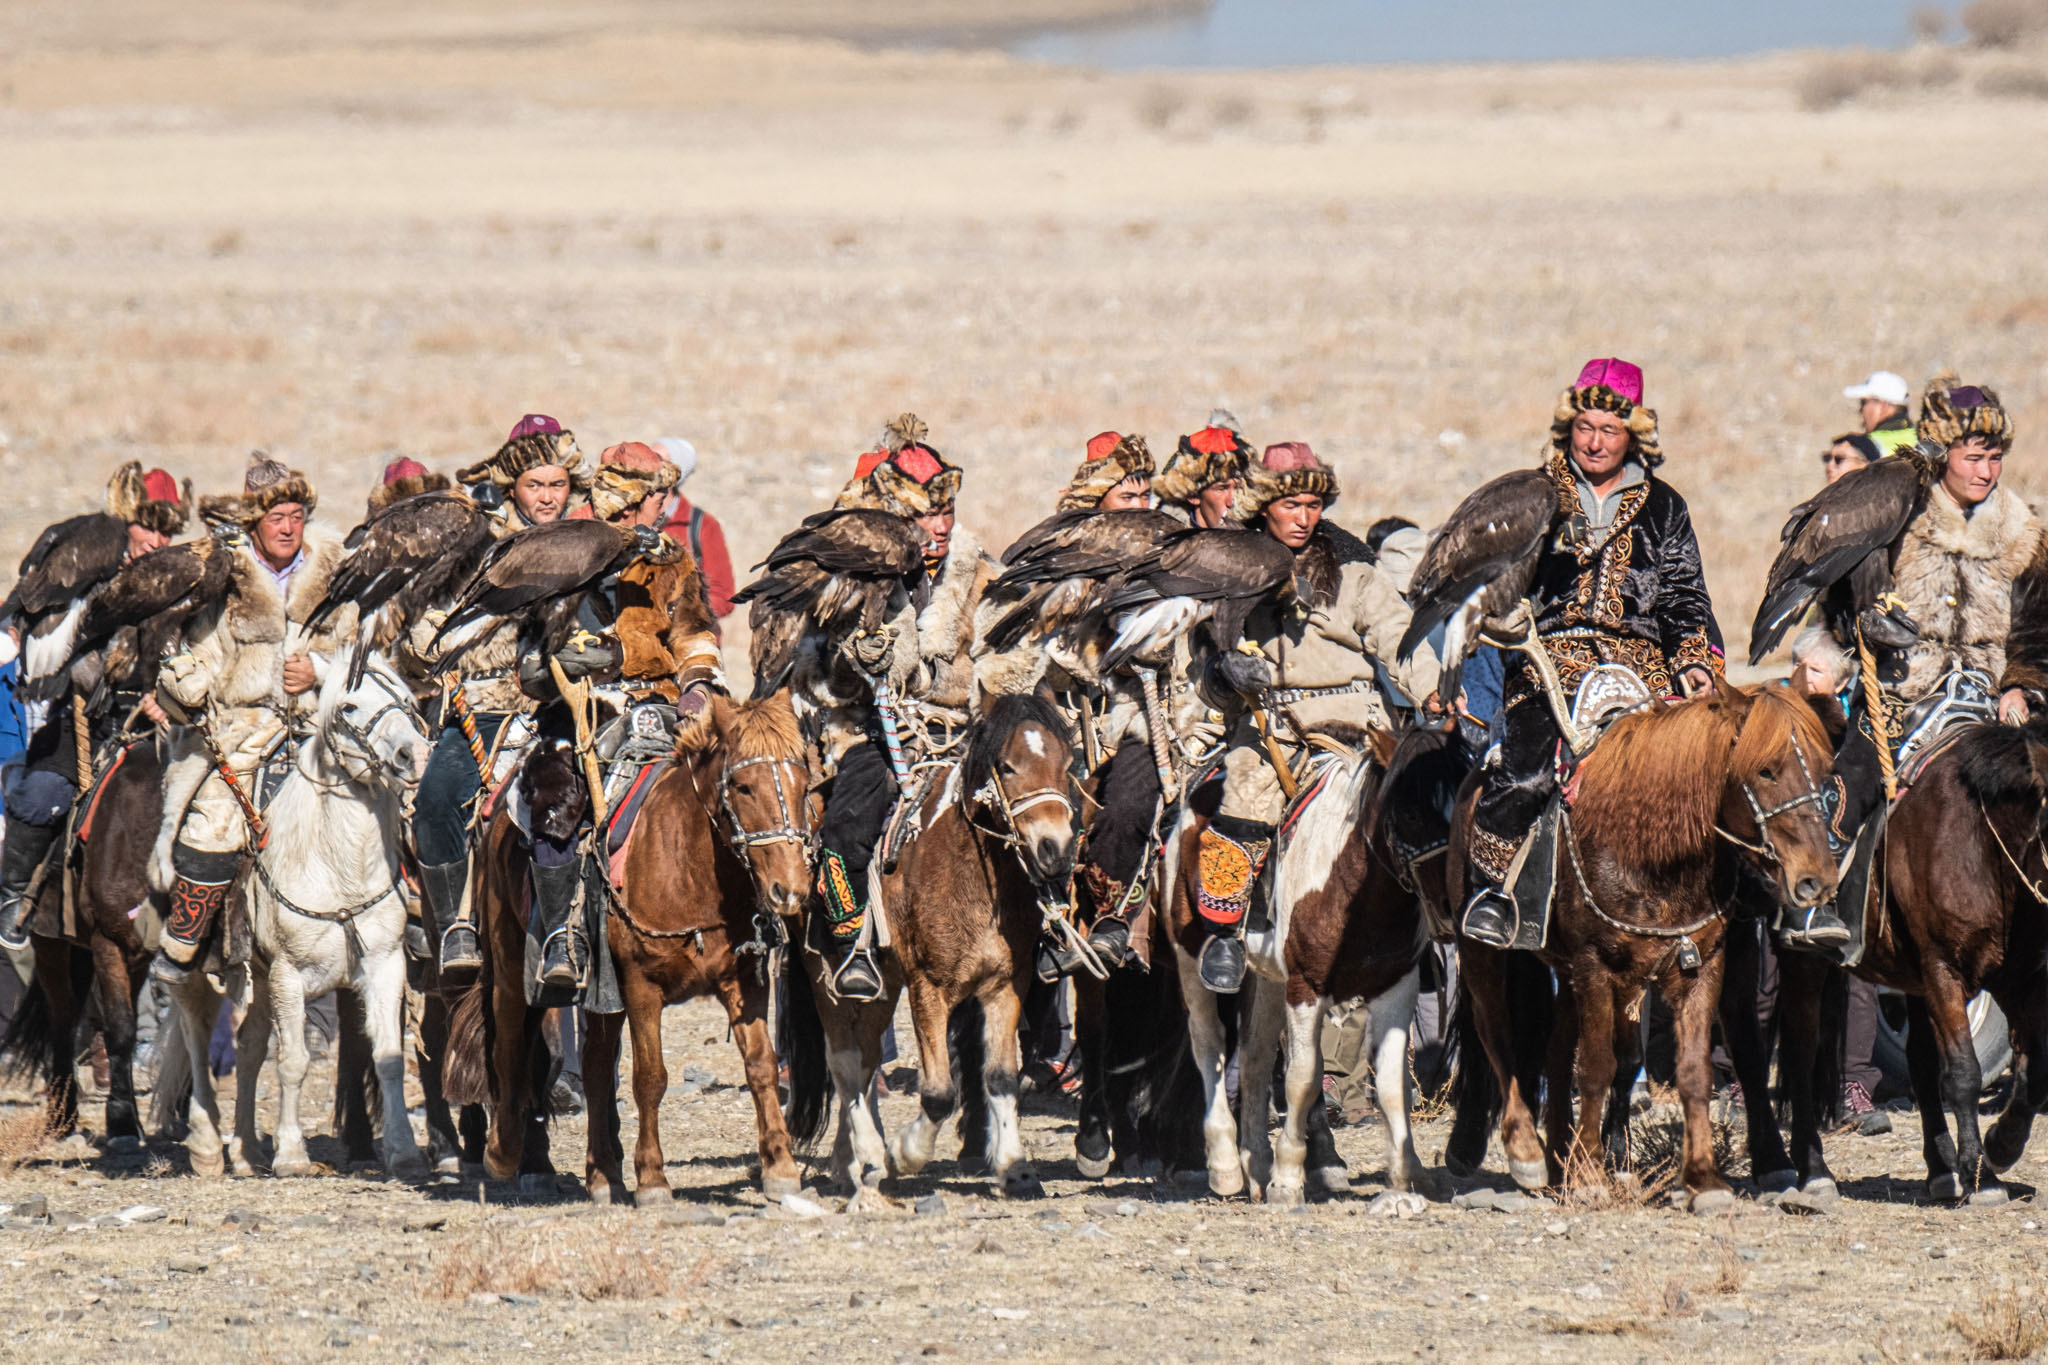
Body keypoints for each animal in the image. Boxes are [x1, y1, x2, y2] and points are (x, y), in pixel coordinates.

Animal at [160, 650, 432, 1178]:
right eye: (348, 706)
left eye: (408, 700)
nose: (414, 756)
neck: (338, 866)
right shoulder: (289, 973)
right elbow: (293, 1061)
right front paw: (291, 1154)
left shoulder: (384, 963)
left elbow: (388, 1055)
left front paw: (404, 1150)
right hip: (197, 969)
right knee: (196, 1033)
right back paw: (207, 1146)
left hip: (258, 976)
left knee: (247, 1048)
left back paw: (246, 1150)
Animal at [581, 695, 811, 1203]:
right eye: (743, 787)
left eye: (805, 785)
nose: (790, 890)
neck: (690, 870)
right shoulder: (640, 988)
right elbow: (650, 1078)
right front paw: (652, 1179)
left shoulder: (744, 982)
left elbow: (762, 1066)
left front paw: (781, 1166)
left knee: (597, 1067)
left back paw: (602, 1172)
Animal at [1163, 724, 1449, 1203]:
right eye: (1409, 812)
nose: (1453, 899)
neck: (1353, 886)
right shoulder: (1306, 987)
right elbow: (1302, 1077)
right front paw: (1289, 1177)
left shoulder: (1396, 986)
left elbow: (1393, 1085)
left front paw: (1409, 1173)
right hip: (1190, 956)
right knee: (1210, 1045)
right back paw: (1226, 1166)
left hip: (1267, 980)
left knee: (1255, 1056)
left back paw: (1256, 1165)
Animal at [1449, 687, 1835, 1211]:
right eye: (1766, 771)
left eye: (1823, 768)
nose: (1816, 879)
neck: (1650, 850)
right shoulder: (1594, 965)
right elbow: (1596, 1067)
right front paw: (1590, 1177)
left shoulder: (1701, 965)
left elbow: (1692, 1070)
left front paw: (1704, 1181)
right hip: (1482, 953)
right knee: (1498, 1036)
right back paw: (1529, 1154)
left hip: (1568, 972)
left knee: (1555, 1049)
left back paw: (1558, 1160)